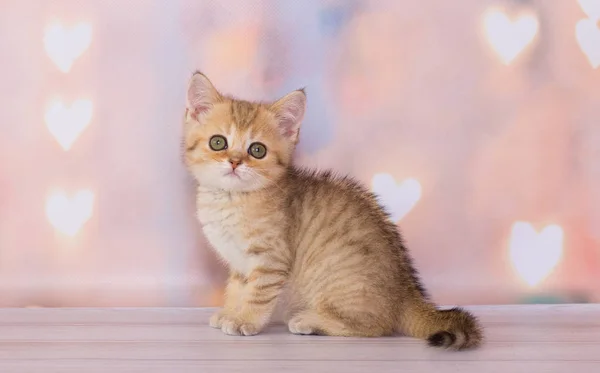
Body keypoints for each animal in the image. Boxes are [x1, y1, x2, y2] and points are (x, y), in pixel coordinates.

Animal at [182, 72, 482, 348]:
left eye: (257, 150)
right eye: (218, 142)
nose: (234, 162)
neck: (230, 199)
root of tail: (407, 291)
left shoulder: (271, 260)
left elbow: (257, 294)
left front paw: (246, 320)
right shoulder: (238, 264)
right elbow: (236, 289)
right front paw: (230, 312)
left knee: (376, 326)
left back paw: (310, 321)